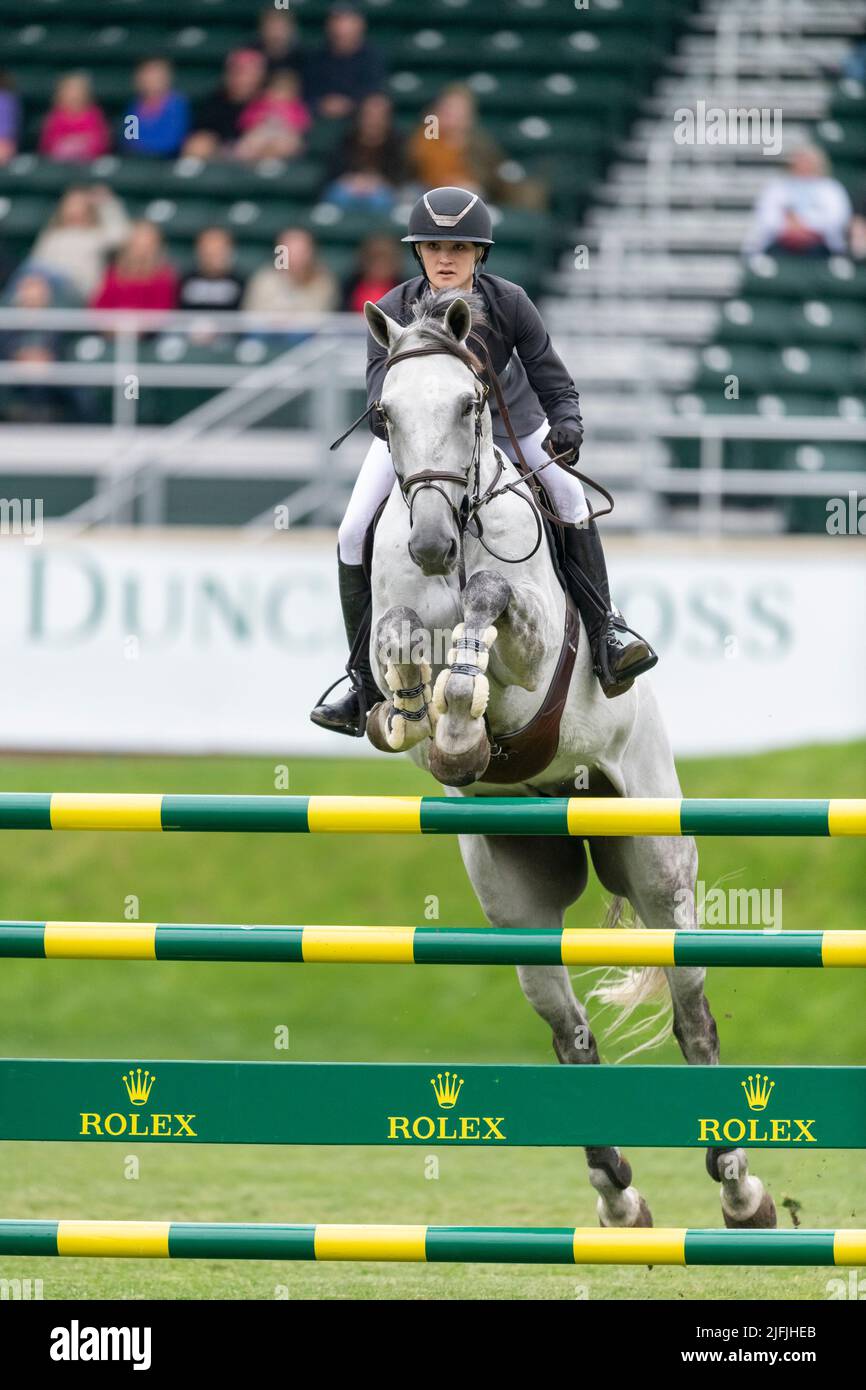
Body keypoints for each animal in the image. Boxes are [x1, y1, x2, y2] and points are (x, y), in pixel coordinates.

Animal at [355, 290, 778, 1228]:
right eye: (383, 415)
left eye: (470, 403)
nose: (431, 543)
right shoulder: (395, 616)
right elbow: (396, 639)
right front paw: (414, 713)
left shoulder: (532, 643)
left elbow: (489, 604)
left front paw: (460, 719)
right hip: (517, 901)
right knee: (569, 1032)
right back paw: (619, 1196)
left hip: (658, 865)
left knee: (692, 1012)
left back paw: (742, 1188)